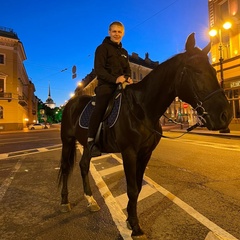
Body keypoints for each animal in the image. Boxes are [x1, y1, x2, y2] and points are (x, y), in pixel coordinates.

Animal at [58, 33, 232, 238]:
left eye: (213, 70)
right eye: (196, 71)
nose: (225, 115)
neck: (141, 108)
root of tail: (71, 102)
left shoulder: (145, 153)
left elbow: (139, 187)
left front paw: (130, 219)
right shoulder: (129, 153)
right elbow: (132, 189)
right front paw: (135, 226)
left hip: (87, 145)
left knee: (84, 165)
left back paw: (91, 201)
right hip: (67, 141)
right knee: (66, 168)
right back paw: (64, 202)